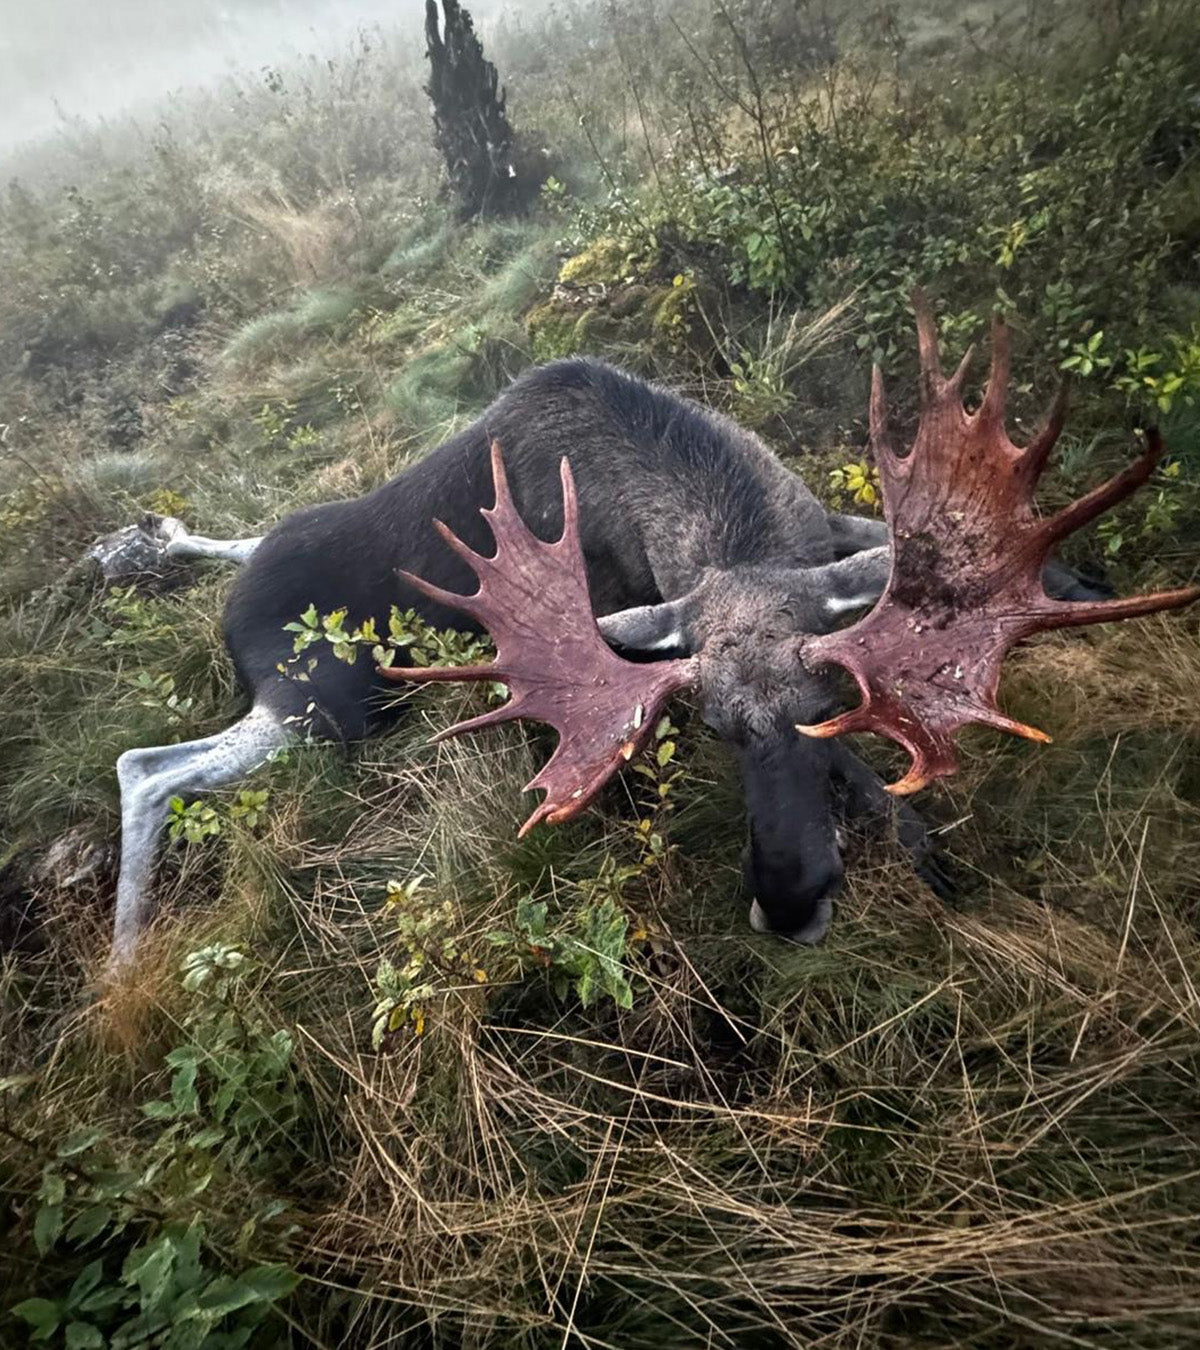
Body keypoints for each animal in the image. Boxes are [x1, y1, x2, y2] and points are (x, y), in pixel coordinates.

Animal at [108, 295, 1199, 967]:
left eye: (833, 697)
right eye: (711, 733)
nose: (786, 901)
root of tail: (233, 613)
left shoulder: (819, 532)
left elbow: (894, 544)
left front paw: (1080, 577)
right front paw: (922, 849)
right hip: (324, 703)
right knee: (145, 765)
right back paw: (124, 958)